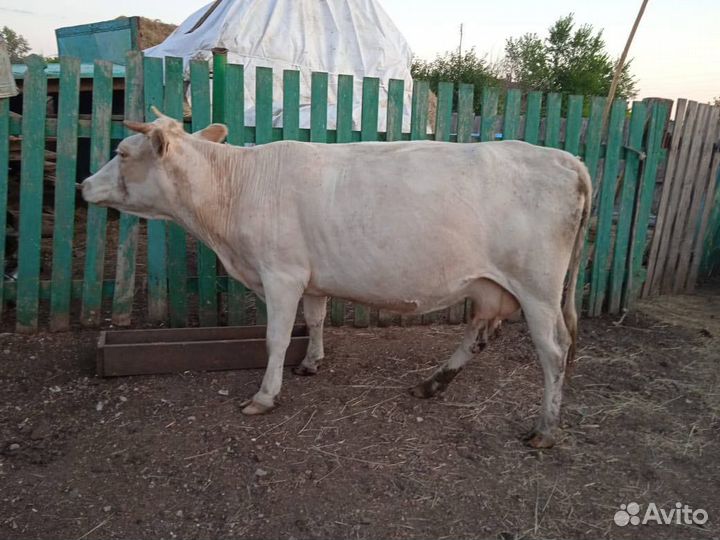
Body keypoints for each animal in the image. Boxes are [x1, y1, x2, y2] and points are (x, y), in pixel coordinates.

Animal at [81, 107, 591, 449]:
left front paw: (265, 395)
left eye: (121, 152)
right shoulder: (310, 277)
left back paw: (545, 429)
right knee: (479, 333)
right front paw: (312, 362)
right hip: (493, 285)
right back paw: (432, 384)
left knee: (554, 352)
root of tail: (567, 159)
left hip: (538, 288)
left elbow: (276, 338)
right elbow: (316, 319)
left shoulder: (281, 273)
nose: (82, 185)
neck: (234, 190)